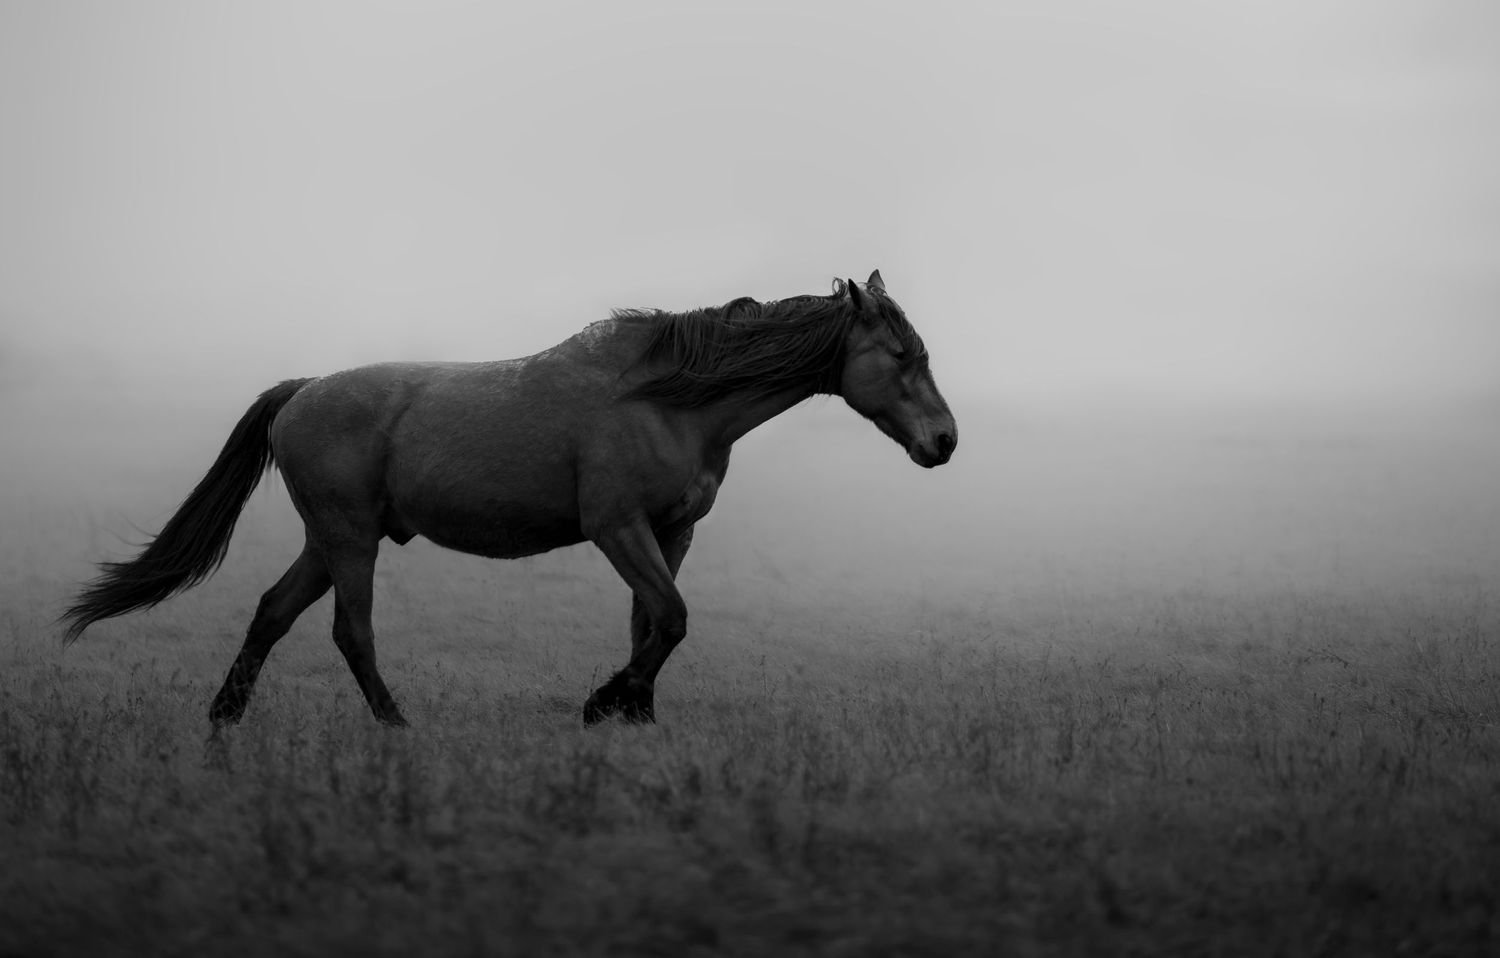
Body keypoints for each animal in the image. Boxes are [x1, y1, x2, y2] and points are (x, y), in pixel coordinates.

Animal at [61, 270, 957, 727]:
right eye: (901, 354)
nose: (945, 441)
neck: (666, 399)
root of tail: (301, 391)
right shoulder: (617, 528)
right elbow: (671, 619)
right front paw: (605, 702)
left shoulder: (672, 534)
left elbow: (652, 625)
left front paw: (634, 713)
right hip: (349, 540)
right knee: (350, 631)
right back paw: (395, 725)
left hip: (330, 539)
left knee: (272, 613)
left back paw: (226, 718)